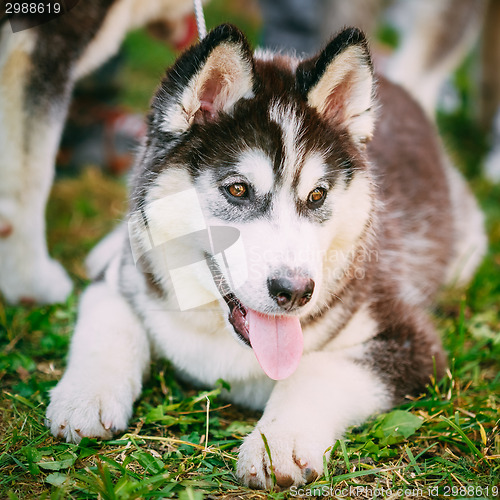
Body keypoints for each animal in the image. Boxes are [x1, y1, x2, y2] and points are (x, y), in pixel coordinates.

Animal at [46, 25, 484, 490]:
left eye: (317, 196)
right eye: (238, 189)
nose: (295, 291)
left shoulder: (411, 340)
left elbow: (317, 371)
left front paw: (279, 441)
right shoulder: (126, 281)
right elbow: (106, 320)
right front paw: (85, 396)